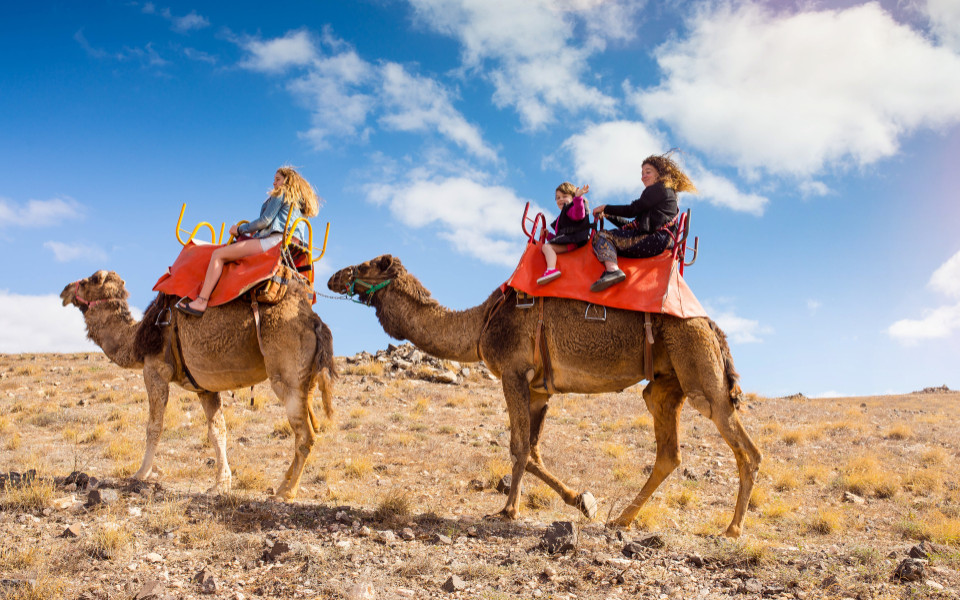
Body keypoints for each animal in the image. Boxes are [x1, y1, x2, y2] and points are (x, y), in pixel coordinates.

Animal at [61, 269, 336, 500]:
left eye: (90, 280)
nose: (64, 290)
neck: (136, 339)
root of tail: (315, 322)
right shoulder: (205, 388)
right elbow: (218, 432)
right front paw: (221, 484)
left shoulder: (155, 370)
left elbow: (154, 426)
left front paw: (140, 474)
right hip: (306, 379)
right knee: (309, 426)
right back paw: (283, 484)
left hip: (286, 374)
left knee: (305, 434)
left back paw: (286, 492)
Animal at [328, 255, 761, 537]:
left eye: (367, 264)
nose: (334, 277)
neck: (480, 323)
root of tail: (711, 326)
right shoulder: (539, 390)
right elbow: (533, 451)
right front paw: (583, 500)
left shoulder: (513, 374)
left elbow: (518, 446)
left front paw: (507, 510)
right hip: (665, 384)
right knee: (669, 450)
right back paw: (621, 520)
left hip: (697, 367)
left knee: (746, 448)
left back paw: (732, 529)